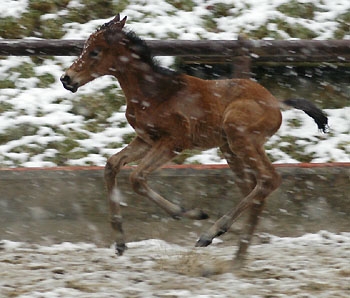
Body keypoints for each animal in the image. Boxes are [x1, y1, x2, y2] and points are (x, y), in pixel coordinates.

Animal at [60, 14, 328, 266]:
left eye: (95, 51)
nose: (66, 78)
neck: (155, 93)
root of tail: (276, 103)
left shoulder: (174, 142)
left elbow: (137, 177)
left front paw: (189, 212)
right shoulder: (146, 139)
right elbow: (111, 165)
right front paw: (119, 243)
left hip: (239, 136)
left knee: (269, 179)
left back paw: (212, 234)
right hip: (230, 149)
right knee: (254, 188)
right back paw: (237, 257)